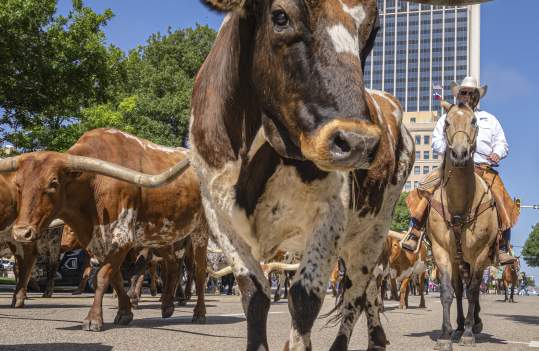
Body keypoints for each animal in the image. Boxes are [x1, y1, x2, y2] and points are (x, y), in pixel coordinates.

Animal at [0, 129, 209, 332]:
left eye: (53, 183)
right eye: (18, 185)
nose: (21, 233)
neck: (93, 185)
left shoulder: (123, 238)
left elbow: (102, 276)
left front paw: (93, 319)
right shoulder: (97, 242)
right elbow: (115, 277)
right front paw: (125, 312)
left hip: (199, 231)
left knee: (199, 271)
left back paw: (199, 313)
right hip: (162, 234)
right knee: (172, 265)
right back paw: (167, 306)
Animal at [426, 100, 498, 350]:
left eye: (474, 121)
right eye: (446, 122)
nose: (459, 154)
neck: (459, 205)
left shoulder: (480, 253)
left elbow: (474, 291)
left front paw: (468, 332)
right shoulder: (441, 251)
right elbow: (447, 291)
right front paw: (446, 334)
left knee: (471, 288)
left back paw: (472, 324)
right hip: (458, 259)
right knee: (459, 288)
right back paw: (458, 326)